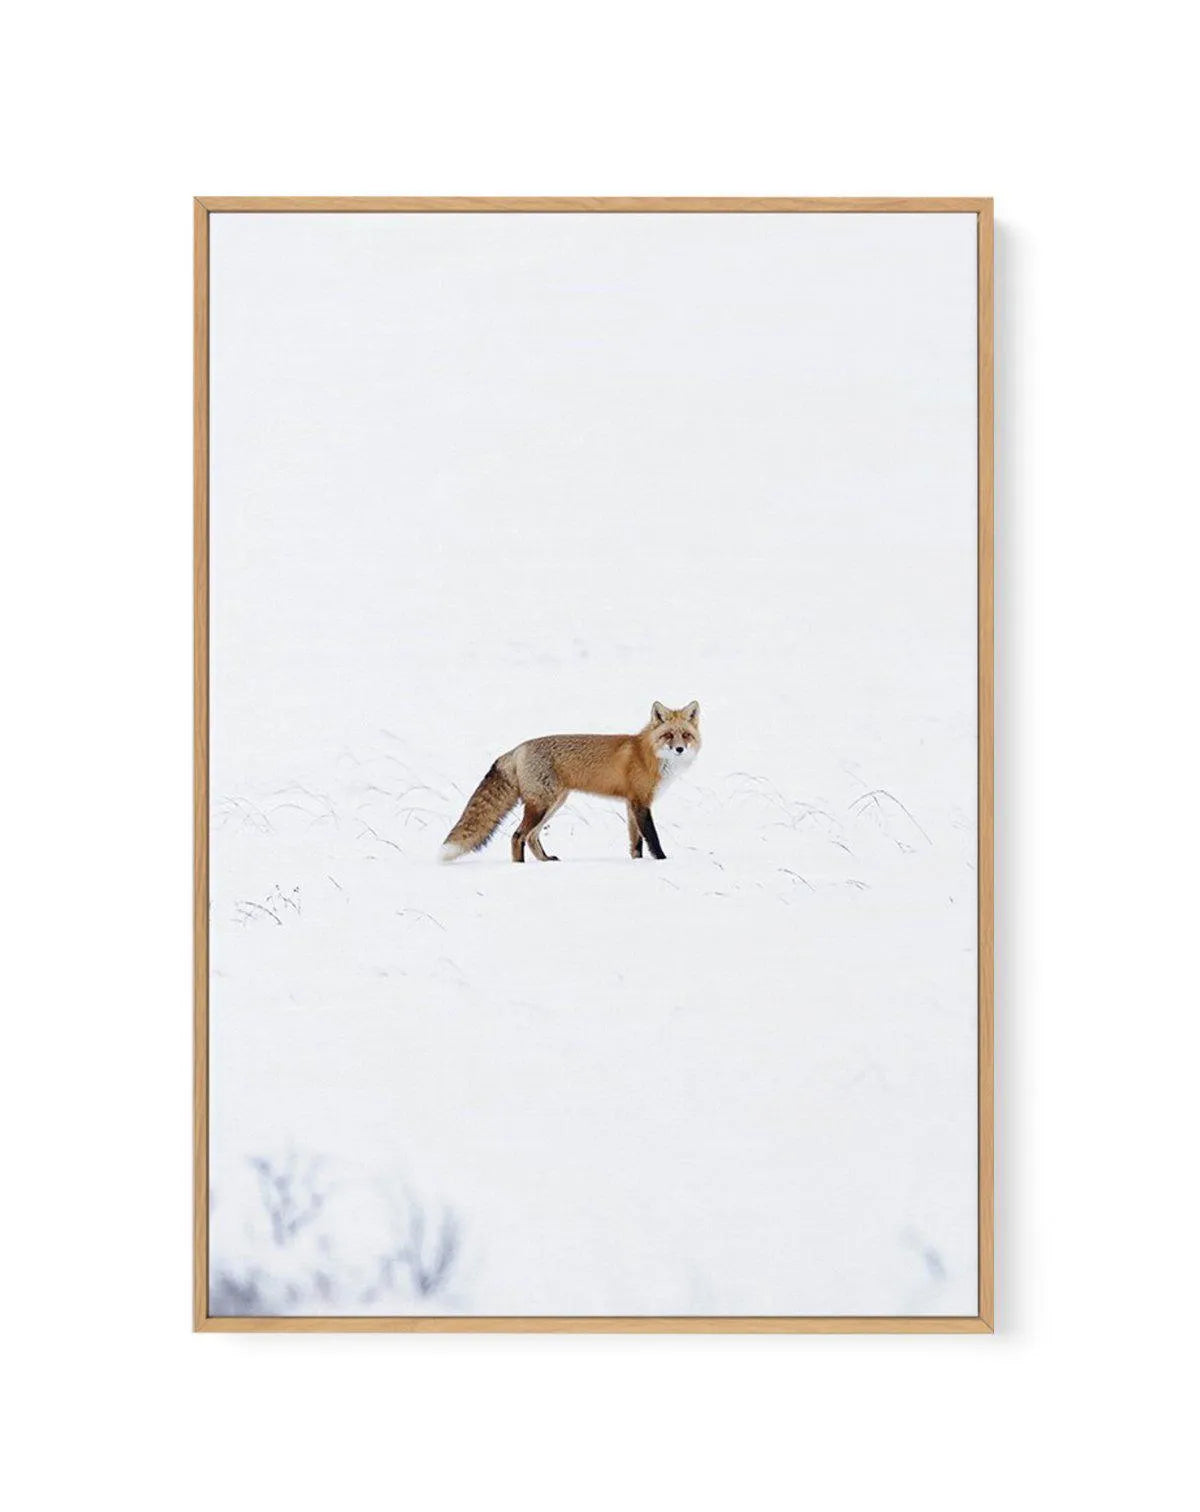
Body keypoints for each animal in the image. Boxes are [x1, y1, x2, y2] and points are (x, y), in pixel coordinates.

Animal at [439, 701, 701, 863]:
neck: (647, 754)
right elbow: (652, 838)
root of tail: (517, 749)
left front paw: (638, 862)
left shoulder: (631, 804)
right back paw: (520, 867)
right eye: (668, 735)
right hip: (542, 804)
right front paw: (662, 860)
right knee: (518, 836)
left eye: (686, 735)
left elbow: (635, 842)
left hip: (554, 803)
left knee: (531, 837)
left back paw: (546, 860)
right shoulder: (640, 802)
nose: (679, 749)